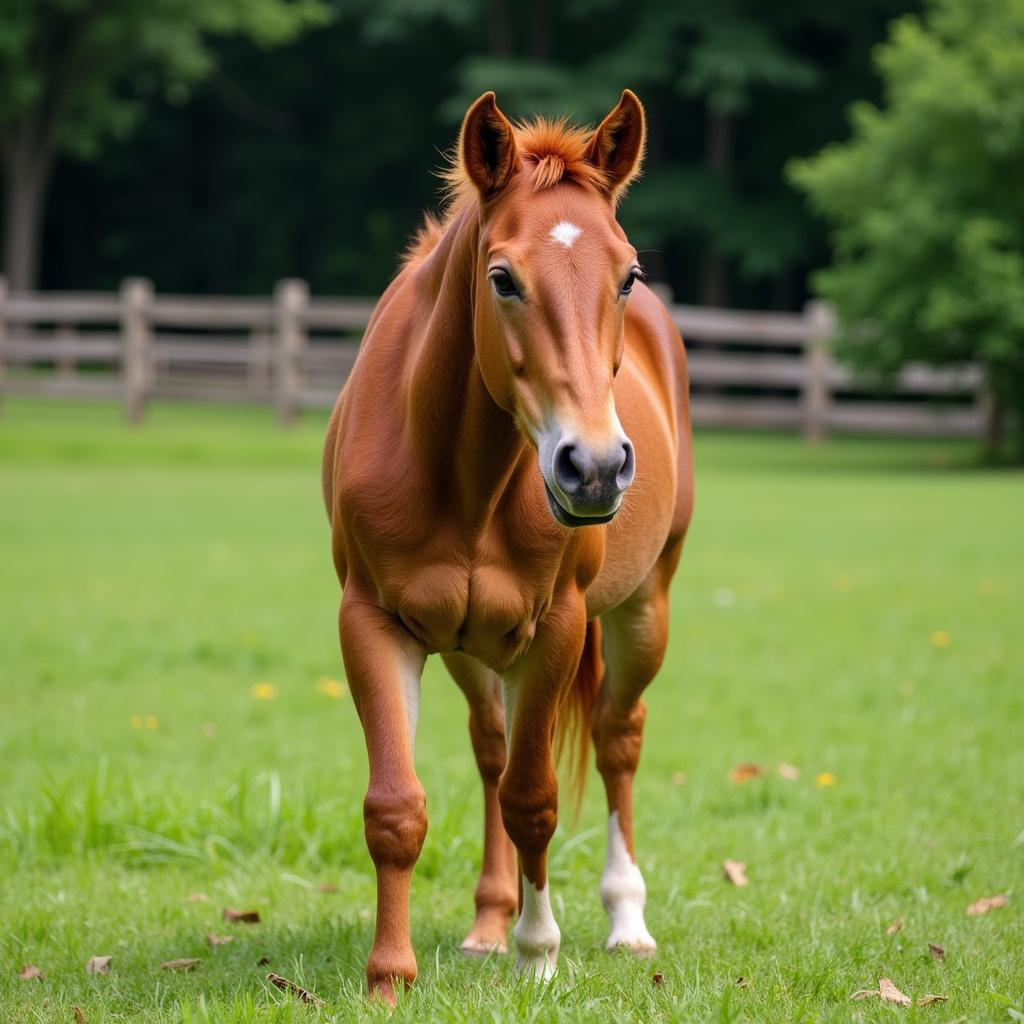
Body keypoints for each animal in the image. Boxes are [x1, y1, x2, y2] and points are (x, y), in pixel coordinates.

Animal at [323, 88, 692, 999]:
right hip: (469, 648)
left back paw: (624, 919)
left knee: (617, 738)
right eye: (503, 279)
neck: (465, 477)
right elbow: (397, 806)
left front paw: (539, 953)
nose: (594, 467)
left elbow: (536, 798)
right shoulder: (373, 625)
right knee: (490, 752)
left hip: (643, 612)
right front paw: (390, 975)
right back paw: (489, 923)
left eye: (627, 275)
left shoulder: (555, 629)